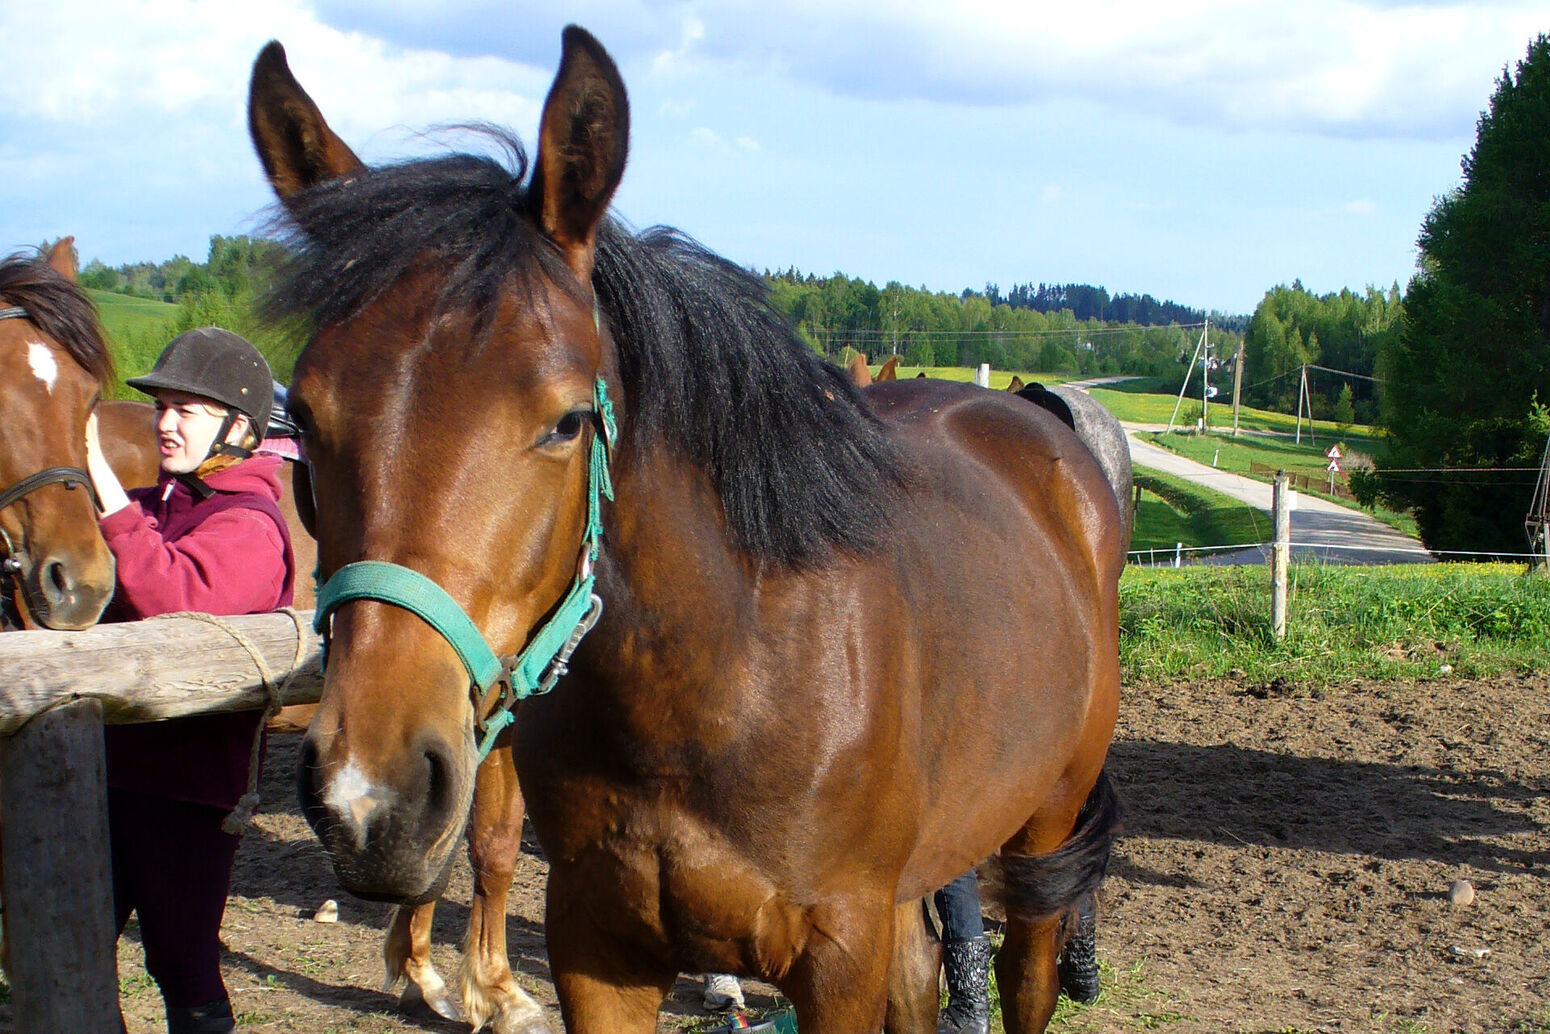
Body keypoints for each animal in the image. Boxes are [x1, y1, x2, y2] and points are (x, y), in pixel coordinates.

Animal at [251, 26, 1128, 1034]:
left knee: (1027, 973)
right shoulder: (600, 951)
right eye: (304, 414)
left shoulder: (838, 959)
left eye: (566, 421)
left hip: (1042, 832)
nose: (373, 798)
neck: (726, 674)